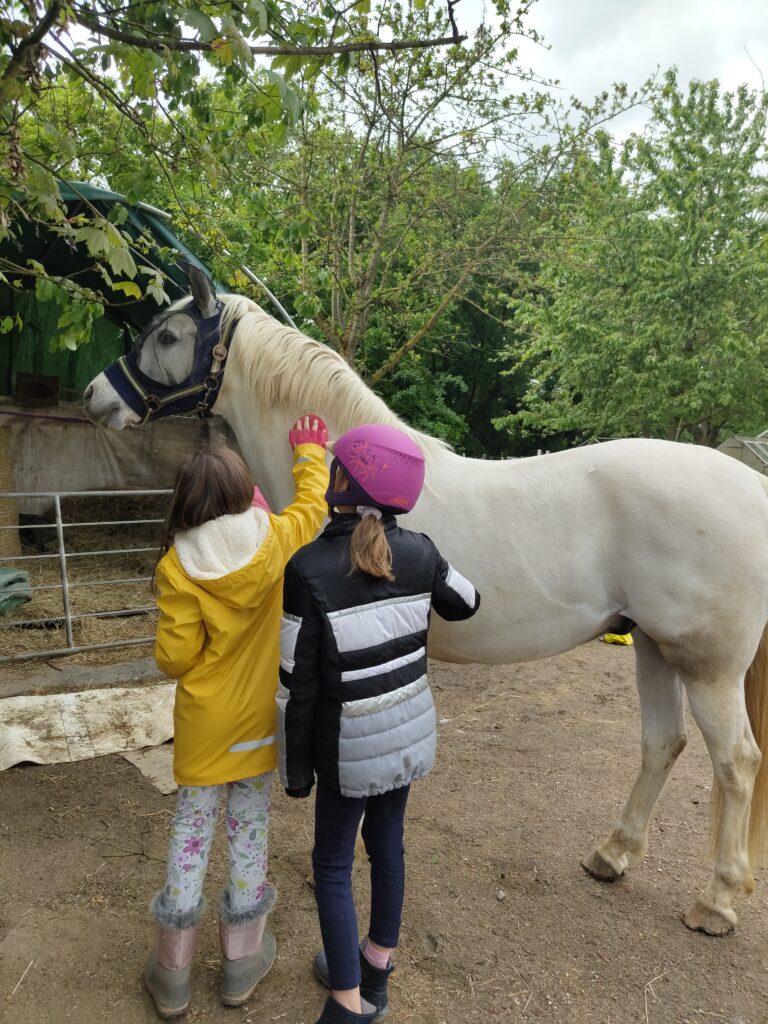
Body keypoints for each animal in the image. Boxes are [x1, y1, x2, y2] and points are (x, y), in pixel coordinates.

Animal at [84, 266, 768, 937]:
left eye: (167, 336)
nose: (94, 395)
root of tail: (751, 485)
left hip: (706, 667)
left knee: (736, 763)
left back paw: (716, 902)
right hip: (653, 646)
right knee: (663, 744)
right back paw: (613, 854)